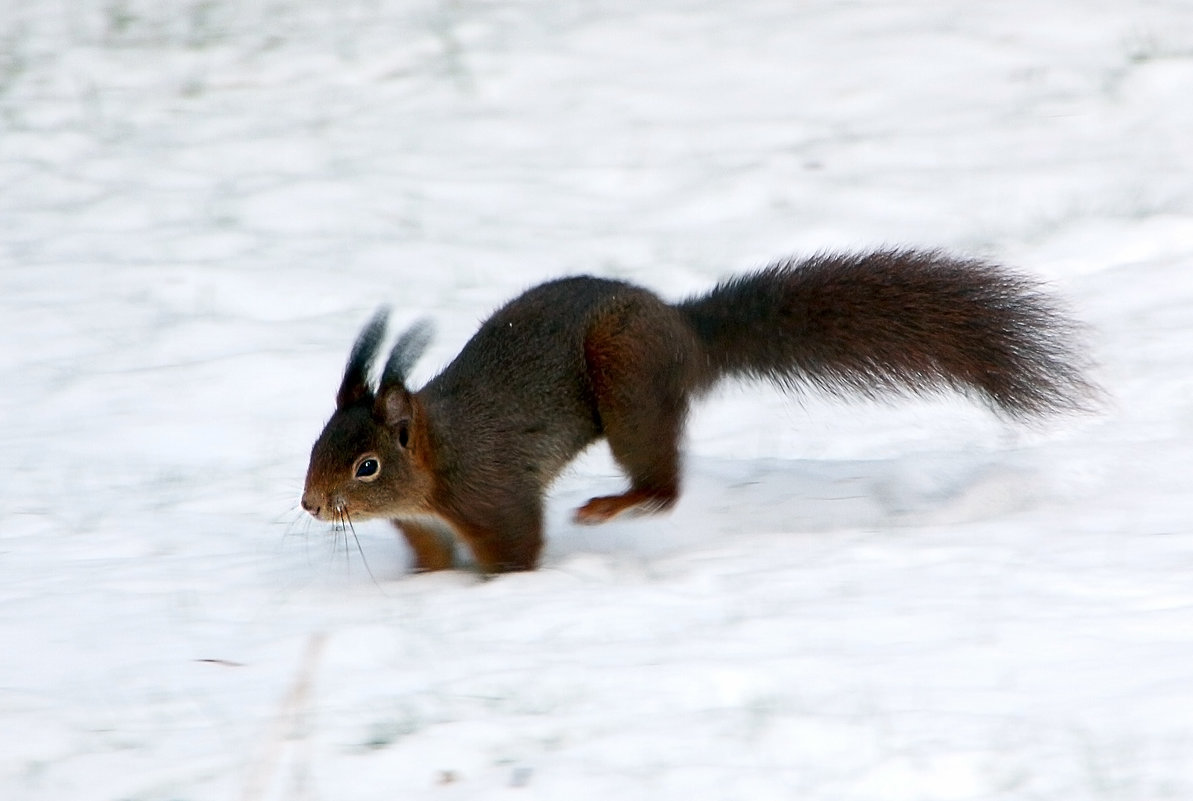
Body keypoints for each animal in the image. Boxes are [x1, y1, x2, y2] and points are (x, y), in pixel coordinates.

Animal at [300, 247, 1097, 572]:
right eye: (314, 445)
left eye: (367, 465)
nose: (310, 504)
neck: (436, 459)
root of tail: (682, 328)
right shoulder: (426, 526)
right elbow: (431, 558)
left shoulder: (493, 493)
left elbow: (516, 550)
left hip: (626, 384)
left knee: (663, 485)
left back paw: (612, 507)